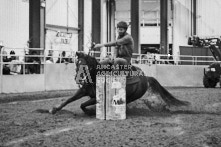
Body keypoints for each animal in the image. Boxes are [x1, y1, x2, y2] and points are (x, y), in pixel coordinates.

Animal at [49, 52, 190, 115]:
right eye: (77, 64)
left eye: (86, 65)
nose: (78, 79)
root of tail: (146, 77)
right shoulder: (83, 90)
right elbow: (68, 100)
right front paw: (54, 109)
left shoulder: (97, 97)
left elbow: (83, 104)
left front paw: (89, 111)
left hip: (132, 95)